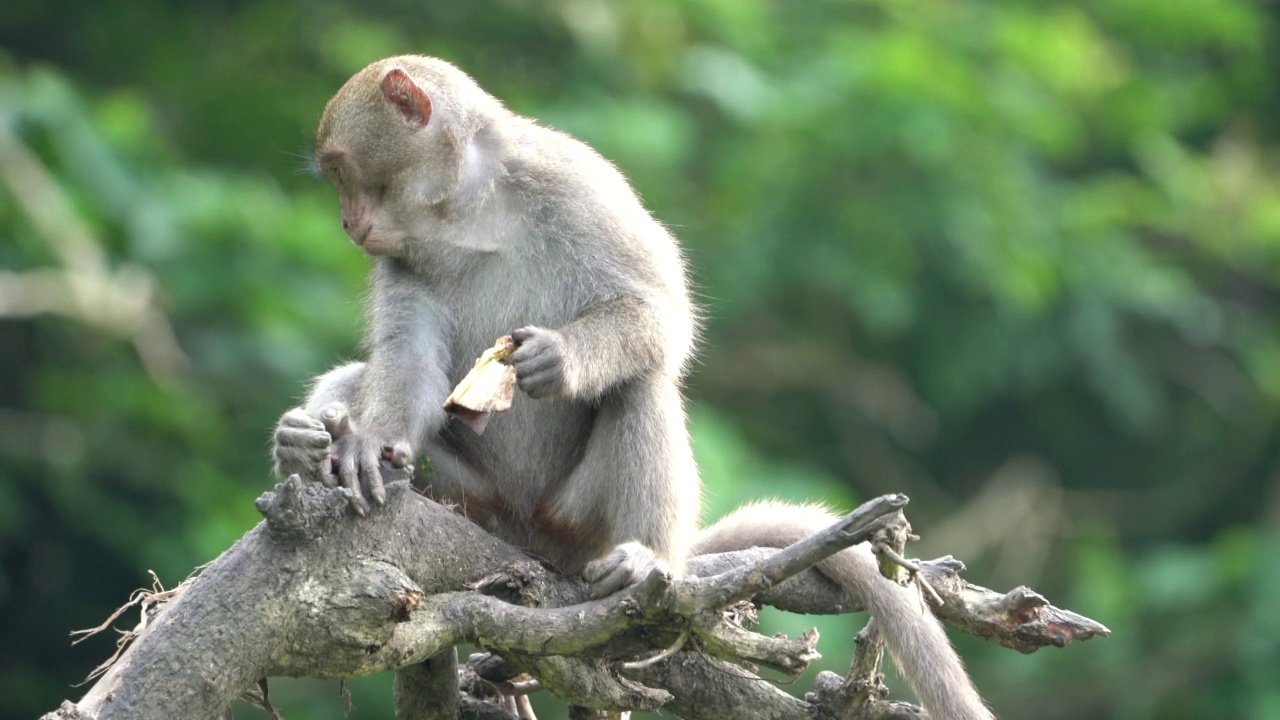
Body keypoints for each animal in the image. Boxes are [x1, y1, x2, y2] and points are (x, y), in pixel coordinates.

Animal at [267, 57, 988, 717]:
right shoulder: (403, 257)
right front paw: (363, 446)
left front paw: (560, 359)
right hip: (477, 502)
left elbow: (662, 313)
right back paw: (306, 446)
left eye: (342, 170)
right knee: (373, 386)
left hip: (579, 520)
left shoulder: (577, 181)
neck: (470, 214)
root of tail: (531, 541)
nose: (347, 223)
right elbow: (408, 363)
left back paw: (648, 561)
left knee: (642, 386)